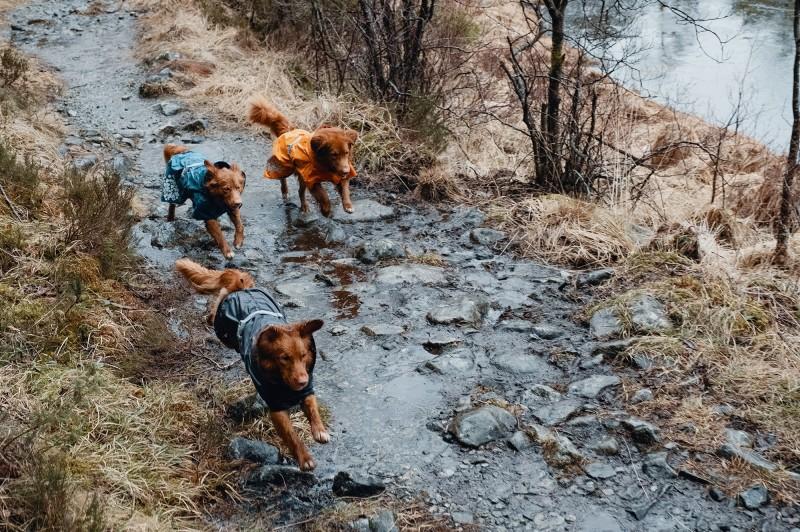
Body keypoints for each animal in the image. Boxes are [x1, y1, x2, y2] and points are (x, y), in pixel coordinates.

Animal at [175, 258, 328, 470]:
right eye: (284, 358)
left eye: (303, 355)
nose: (302, 381)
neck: (281, 380)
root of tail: (243, 288)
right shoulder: (276, 407)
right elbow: (291, 435)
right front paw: (304, 458)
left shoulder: (307, 391)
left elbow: (313, 408)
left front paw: (320, 430)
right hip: (222, 328)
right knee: (219, 299)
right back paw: (212, 311)